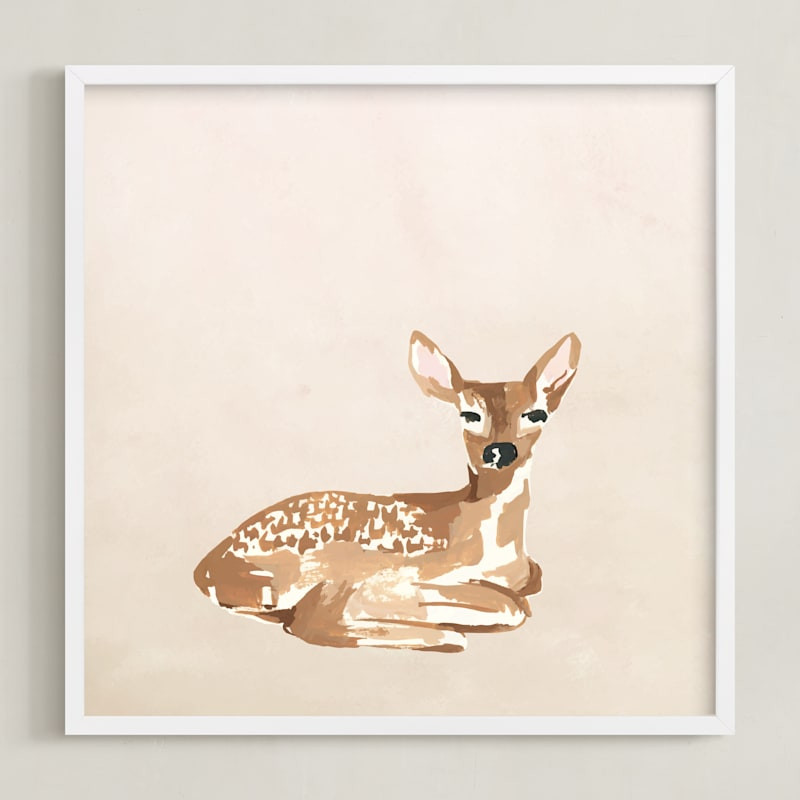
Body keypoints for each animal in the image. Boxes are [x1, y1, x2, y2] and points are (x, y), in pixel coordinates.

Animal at [194, 331, 581, 652]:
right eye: (469, 414)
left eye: (537, 414)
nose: (500, 451)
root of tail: (207, 566)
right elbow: (510, 605)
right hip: (328, 562)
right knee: (312, 618)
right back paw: (444, 634)